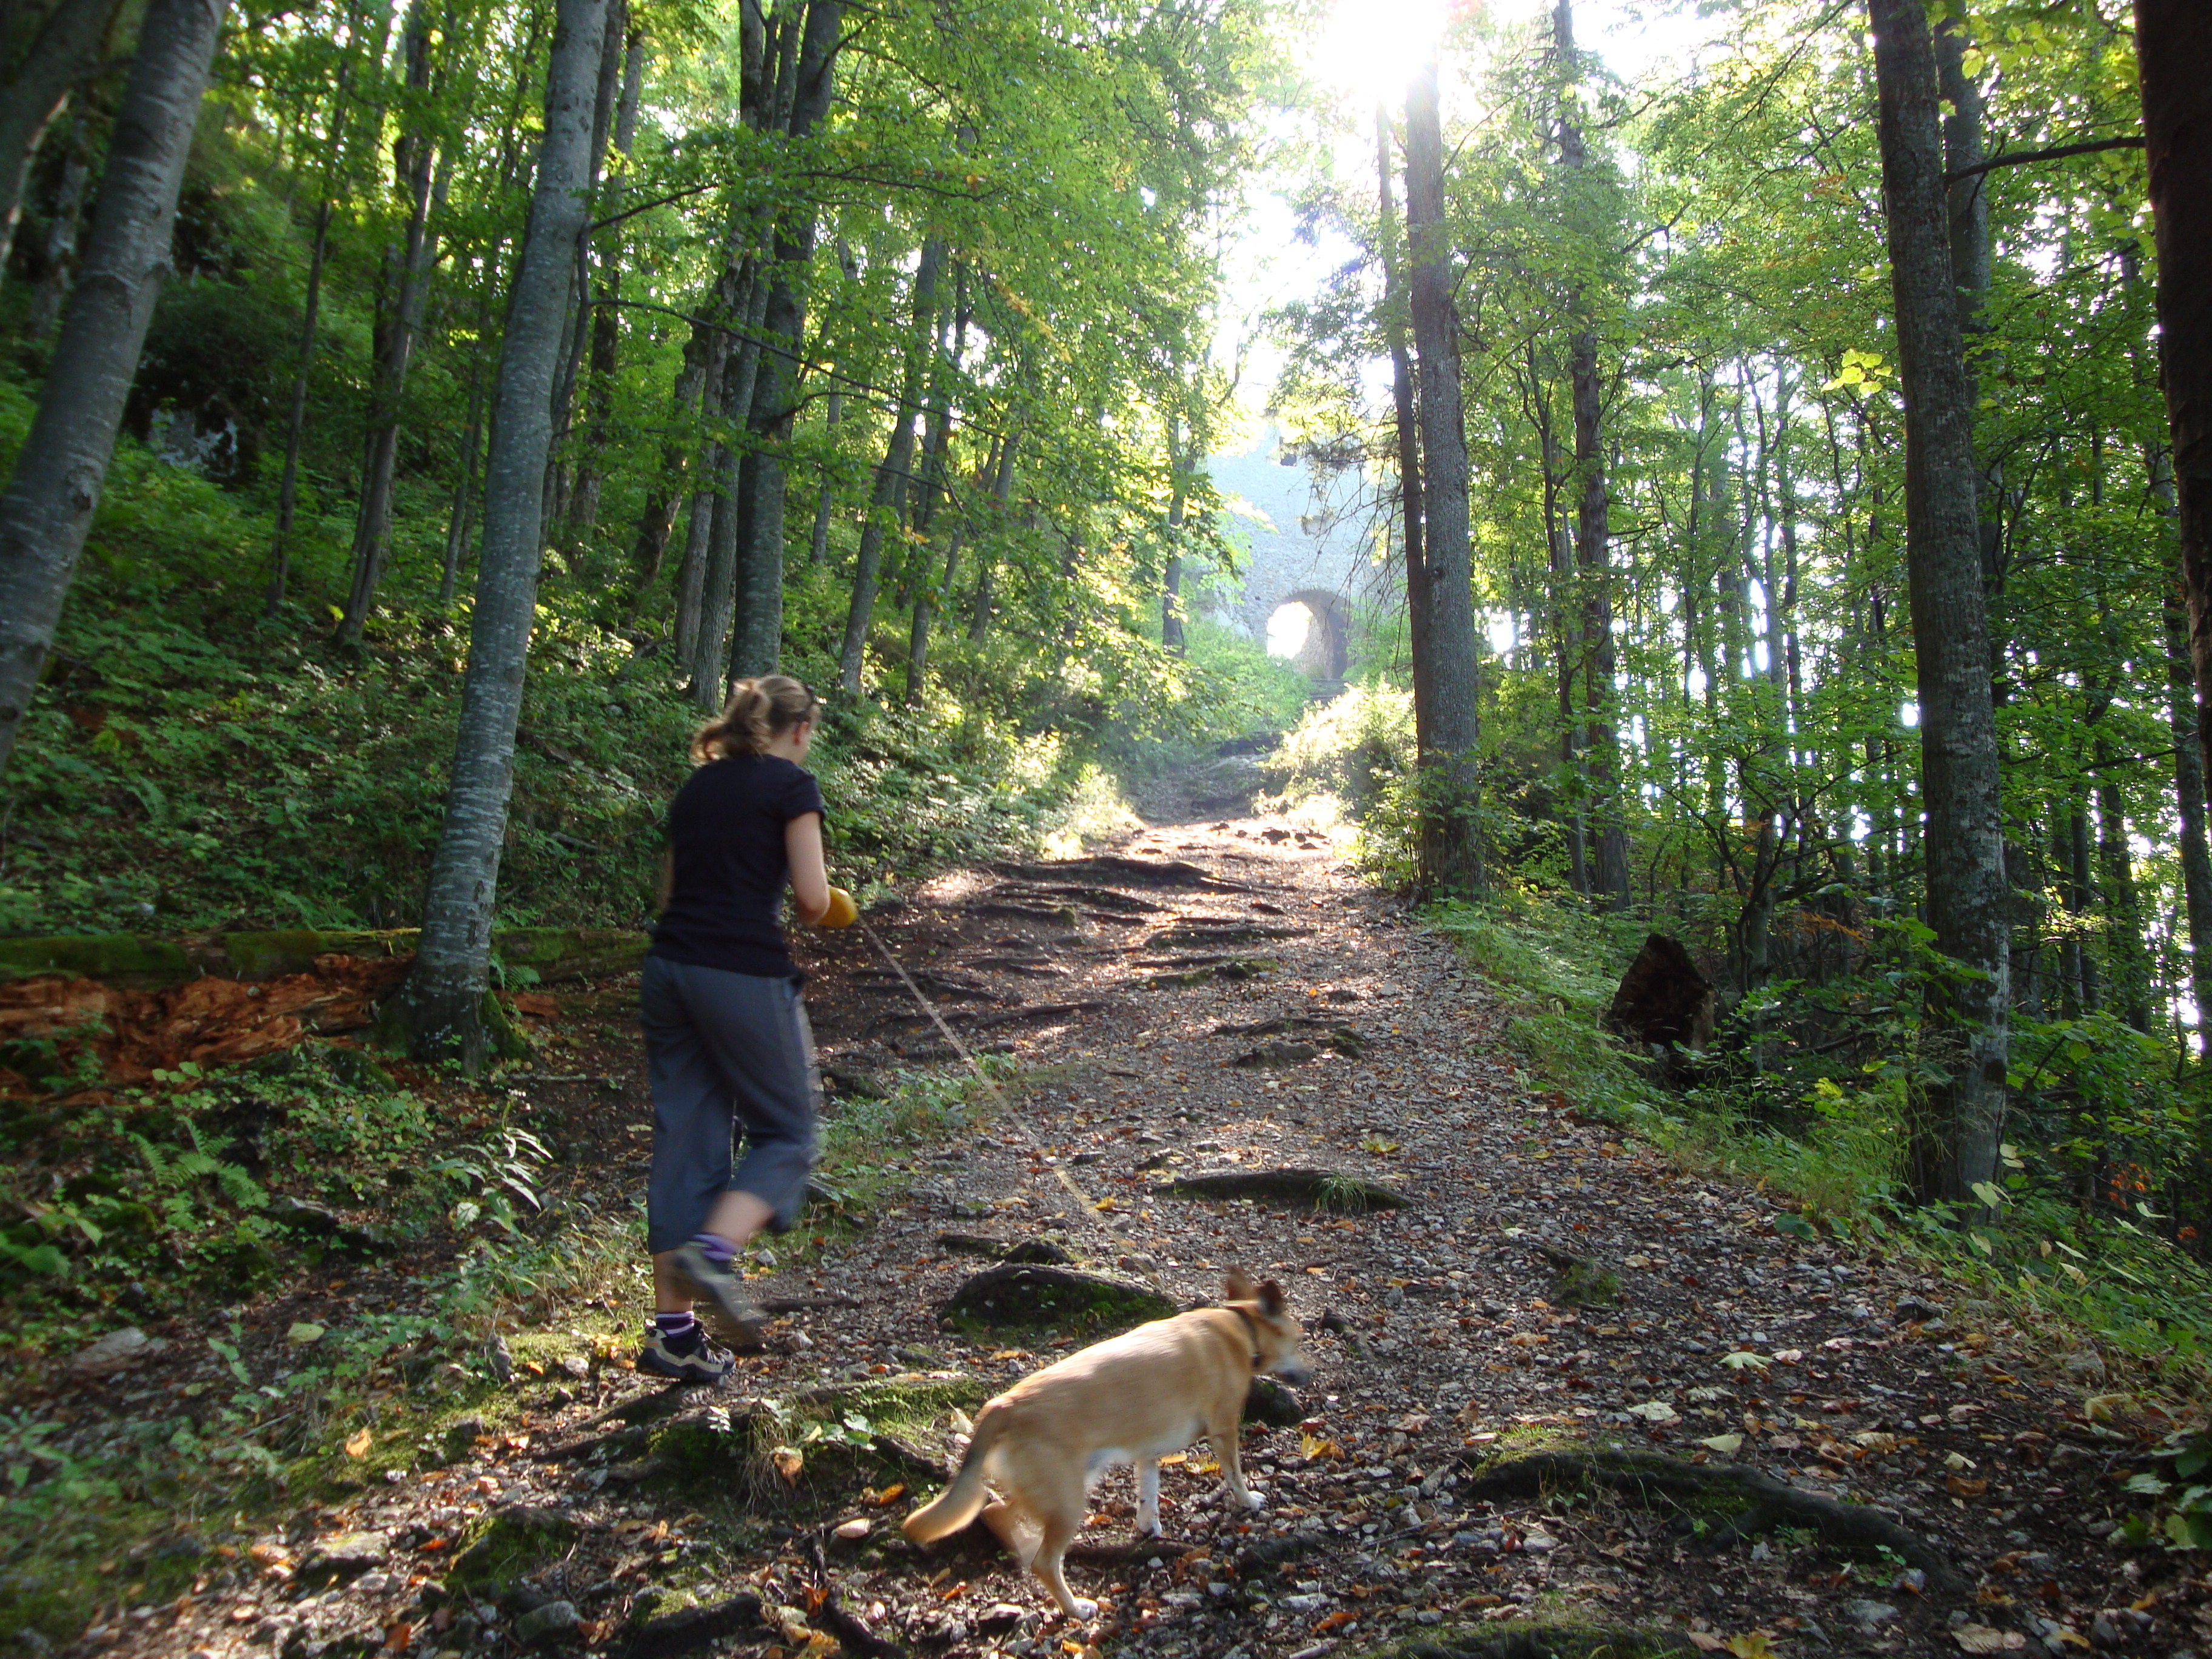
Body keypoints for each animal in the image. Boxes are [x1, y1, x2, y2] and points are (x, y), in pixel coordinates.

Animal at [902, 1270, 1314, 1621]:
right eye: (1298, 1342)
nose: (1309, 1375)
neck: (1240, 1326)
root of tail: (1005, 1405)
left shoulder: (1147, 1452)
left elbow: (1148, 1495)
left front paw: (1149, 1527)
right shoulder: (1225, 1429)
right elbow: (1235, 1476)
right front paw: (1248, 1501)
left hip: (1054, 1488)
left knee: (997, 1513)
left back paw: (1020, 1550)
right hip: (1068, 1500)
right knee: (1044, 1561)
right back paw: (1074, 1607)